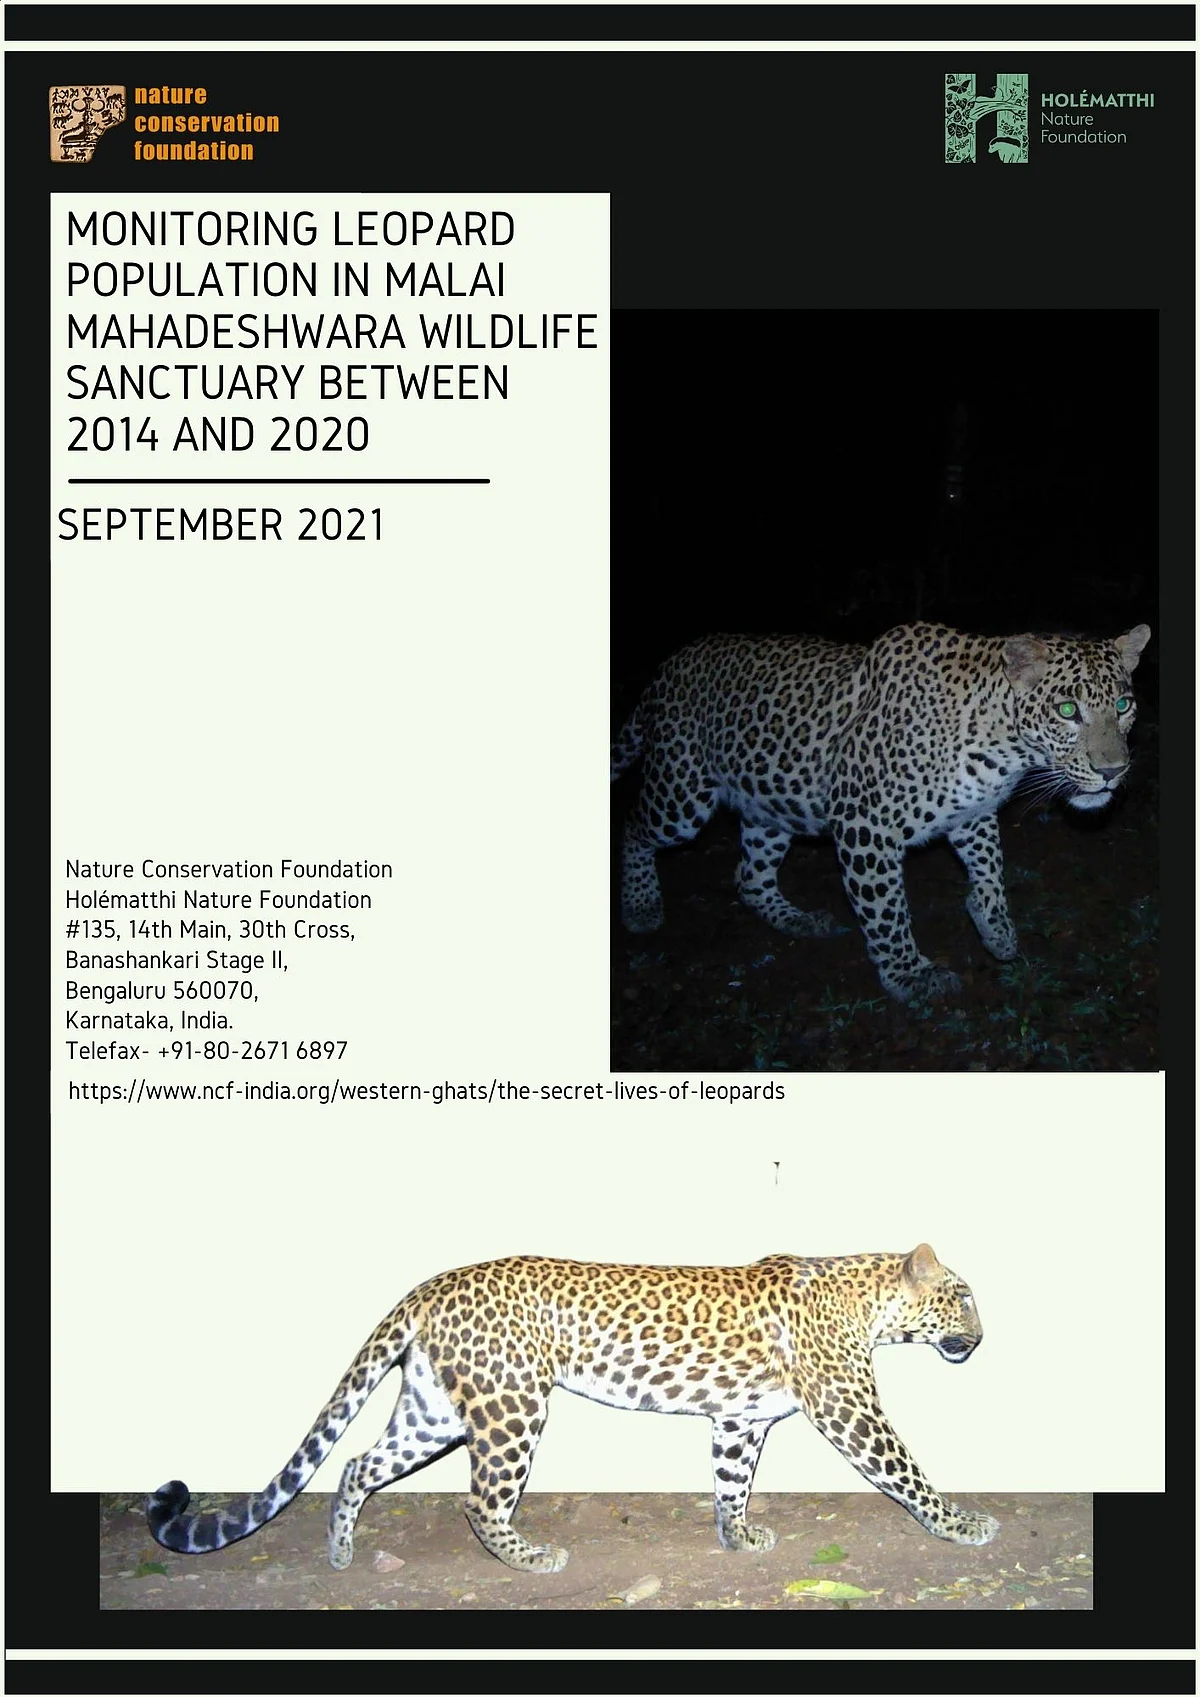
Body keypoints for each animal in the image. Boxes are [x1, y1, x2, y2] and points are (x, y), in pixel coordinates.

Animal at [147, 1242, 996, 1574]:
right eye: (961, 1295)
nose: (984, 1338)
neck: (868, 1298)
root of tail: (428, 1284)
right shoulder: (851, 1408)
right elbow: (909, 1474)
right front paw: (962, 1526)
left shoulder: (738, 1420)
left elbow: (731, 1482)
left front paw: (738, 1536)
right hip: (511, 1407)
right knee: (477, 1500)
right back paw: (528, 1556)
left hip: (435, 1410)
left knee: (356, 1462)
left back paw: (341, 1551)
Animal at [611, 622, 1151, 1002]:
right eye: (1067, 711)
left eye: (1124, 705)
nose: (1112, 771)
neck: (1003, 748)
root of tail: (667, 666)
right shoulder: (863, 823)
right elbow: (887, 910)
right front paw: (910, 975)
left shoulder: (971, 813)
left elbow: (991, 868)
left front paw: (993, 928)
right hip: (682, 790)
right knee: (634, 827)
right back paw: (640, 905)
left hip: (771, 802)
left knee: (749, 875)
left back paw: (797, 921)